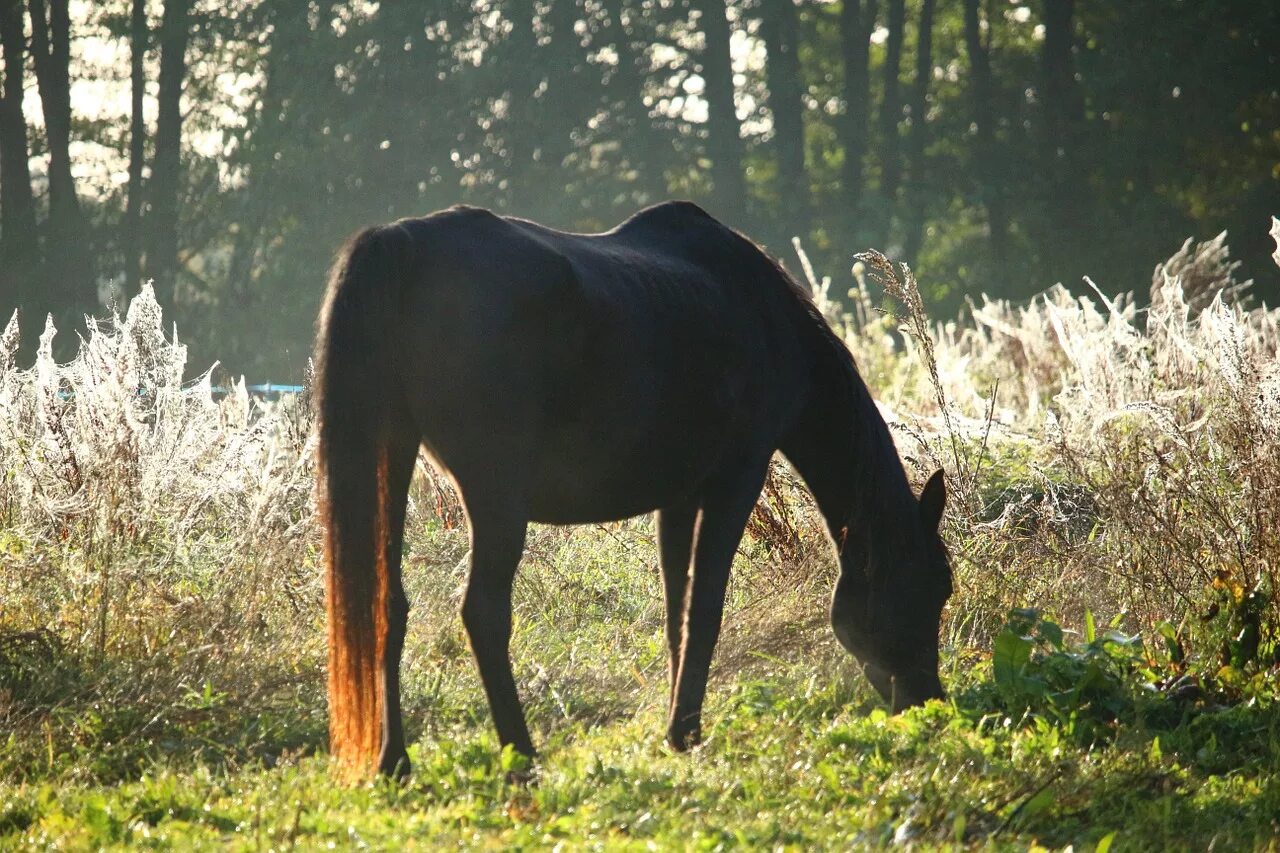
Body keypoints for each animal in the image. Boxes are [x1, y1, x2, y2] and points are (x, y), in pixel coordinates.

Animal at [309, 201, 952, 778]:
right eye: (936, 587)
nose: (930, 701)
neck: (764, 316)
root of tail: (404, 243)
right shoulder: (734, 481)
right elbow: (706, 607)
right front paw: (686, 731)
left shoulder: (680, 497)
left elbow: (676, 611)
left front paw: (676, 722)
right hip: (495, 498)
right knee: (484, 614)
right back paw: (521, 754)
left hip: (393, 458)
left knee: (388, 605)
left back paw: (395, 761)